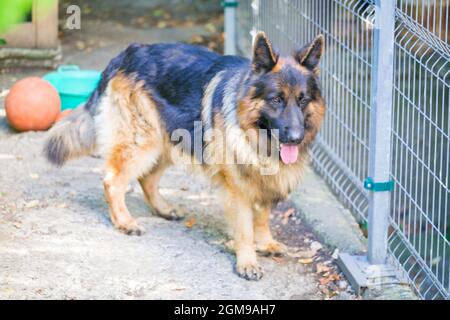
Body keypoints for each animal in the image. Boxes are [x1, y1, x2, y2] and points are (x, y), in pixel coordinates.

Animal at [44, 32, 326, 280]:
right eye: (276, 99)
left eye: (303, 100)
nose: (296, 138)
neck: (254, 132)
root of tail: (129, 52)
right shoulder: (237, 189)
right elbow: (245, 229)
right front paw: (247, 262)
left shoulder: (263, 179)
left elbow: (263, 216)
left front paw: (265, 242)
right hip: (143, 141)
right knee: (113, 181)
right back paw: (124, 221)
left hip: (167, 140)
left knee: (147, 179)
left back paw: (164, 209)